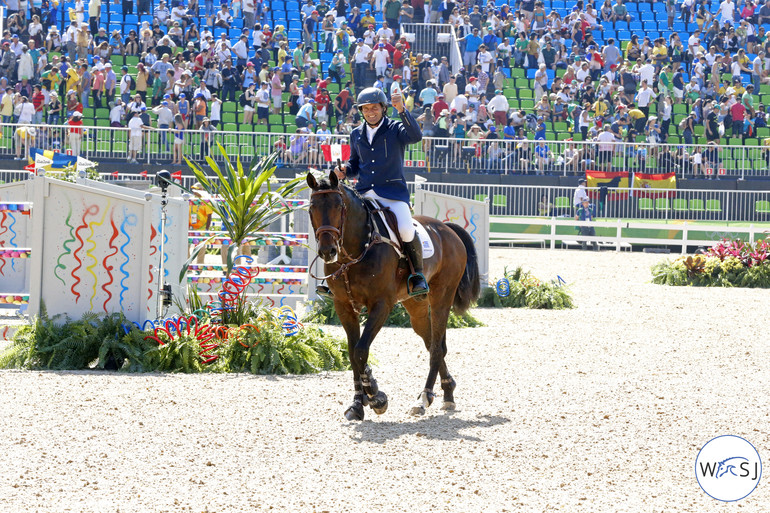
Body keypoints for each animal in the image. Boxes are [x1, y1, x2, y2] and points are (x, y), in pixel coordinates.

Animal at [306, 170, 480, 418]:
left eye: (339, 207)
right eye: (312, 208)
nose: (327, 251)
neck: (356, 249)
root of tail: (447, 229)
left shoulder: (381, 305)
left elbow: (360, 350)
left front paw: (376, 396)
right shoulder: (343, 305)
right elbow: (352, 352)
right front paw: (358, 403)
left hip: (441, 298)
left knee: (437, 348)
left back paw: (424, 398)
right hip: (415, 306)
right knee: (432, 343)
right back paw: (448, 392)